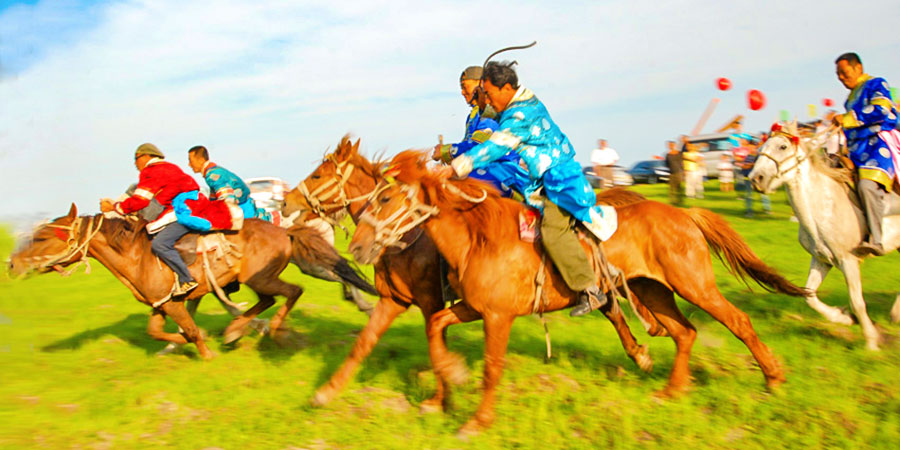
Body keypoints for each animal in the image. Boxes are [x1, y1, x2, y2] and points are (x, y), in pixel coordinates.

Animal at [7, 204, 374, 358]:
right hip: (258, 279)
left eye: (43, 238)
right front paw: (177, 344)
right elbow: (156, 331)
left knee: (292, 292)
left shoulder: (174, 302)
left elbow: (192, 330)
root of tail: (283, 230)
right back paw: (236, 330)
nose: (11, 264)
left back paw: (270, 329)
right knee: (270, 299)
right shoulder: (162, 304)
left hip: (263, 277)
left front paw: (204, 352)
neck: (136, 254)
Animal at [282, 134, 652, 412]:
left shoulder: (432, 302)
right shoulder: (392, 301)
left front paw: (441, 396)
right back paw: (641, 354)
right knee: (611, 307)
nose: (285, 203)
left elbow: (436, 345)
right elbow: (363, 344)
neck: (407, 240)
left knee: (611, 306)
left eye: (317, 175)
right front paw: (325, 393)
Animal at [348, 152, 804, 436]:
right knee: (685, 333)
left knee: (737, 321)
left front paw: (476, 422)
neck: (479, 237)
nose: (356, 246)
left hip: (695, 285)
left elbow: (492, 368)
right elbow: (437, 326)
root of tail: (684, 214)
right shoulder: (474, 307)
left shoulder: (498, 316)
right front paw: (449, 379)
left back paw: (774, 378)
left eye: (385, 197)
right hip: (653, 290)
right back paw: (672, 390)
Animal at [744, 121, 900, 350]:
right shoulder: (821, 259)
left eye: (782, 146)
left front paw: (871, 341)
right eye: (761, 147)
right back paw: (895, 313)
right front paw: (843, 317)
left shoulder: (848, 260)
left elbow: (857, 301)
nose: (756, 179)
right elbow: (809, 296)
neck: (823, 205)